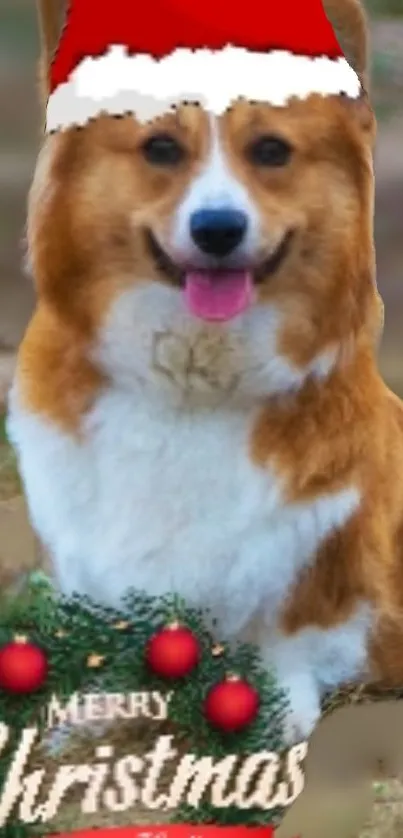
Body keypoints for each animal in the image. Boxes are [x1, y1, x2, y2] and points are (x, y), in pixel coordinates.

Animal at [6, 0, 403, 744]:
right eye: (161, 148)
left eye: (271, 150)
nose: (218, 228)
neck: (192, 386)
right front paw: (91, 708)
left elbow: (296, 630)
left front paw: (276, 702)